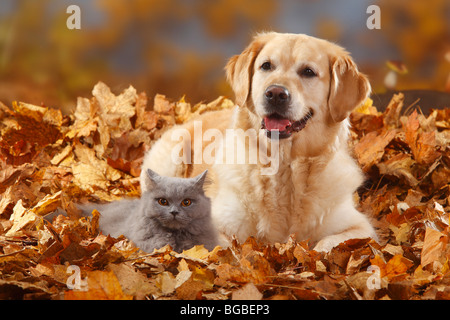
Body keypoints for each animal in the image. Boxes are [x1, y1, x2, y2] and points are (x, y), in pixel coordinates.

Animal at [140, 32, 376, 252]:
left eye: (308, 72)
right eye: (266, 66)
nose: (276, 93)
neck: (284, 168)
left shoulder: (361, 227)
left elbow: (327, 245)